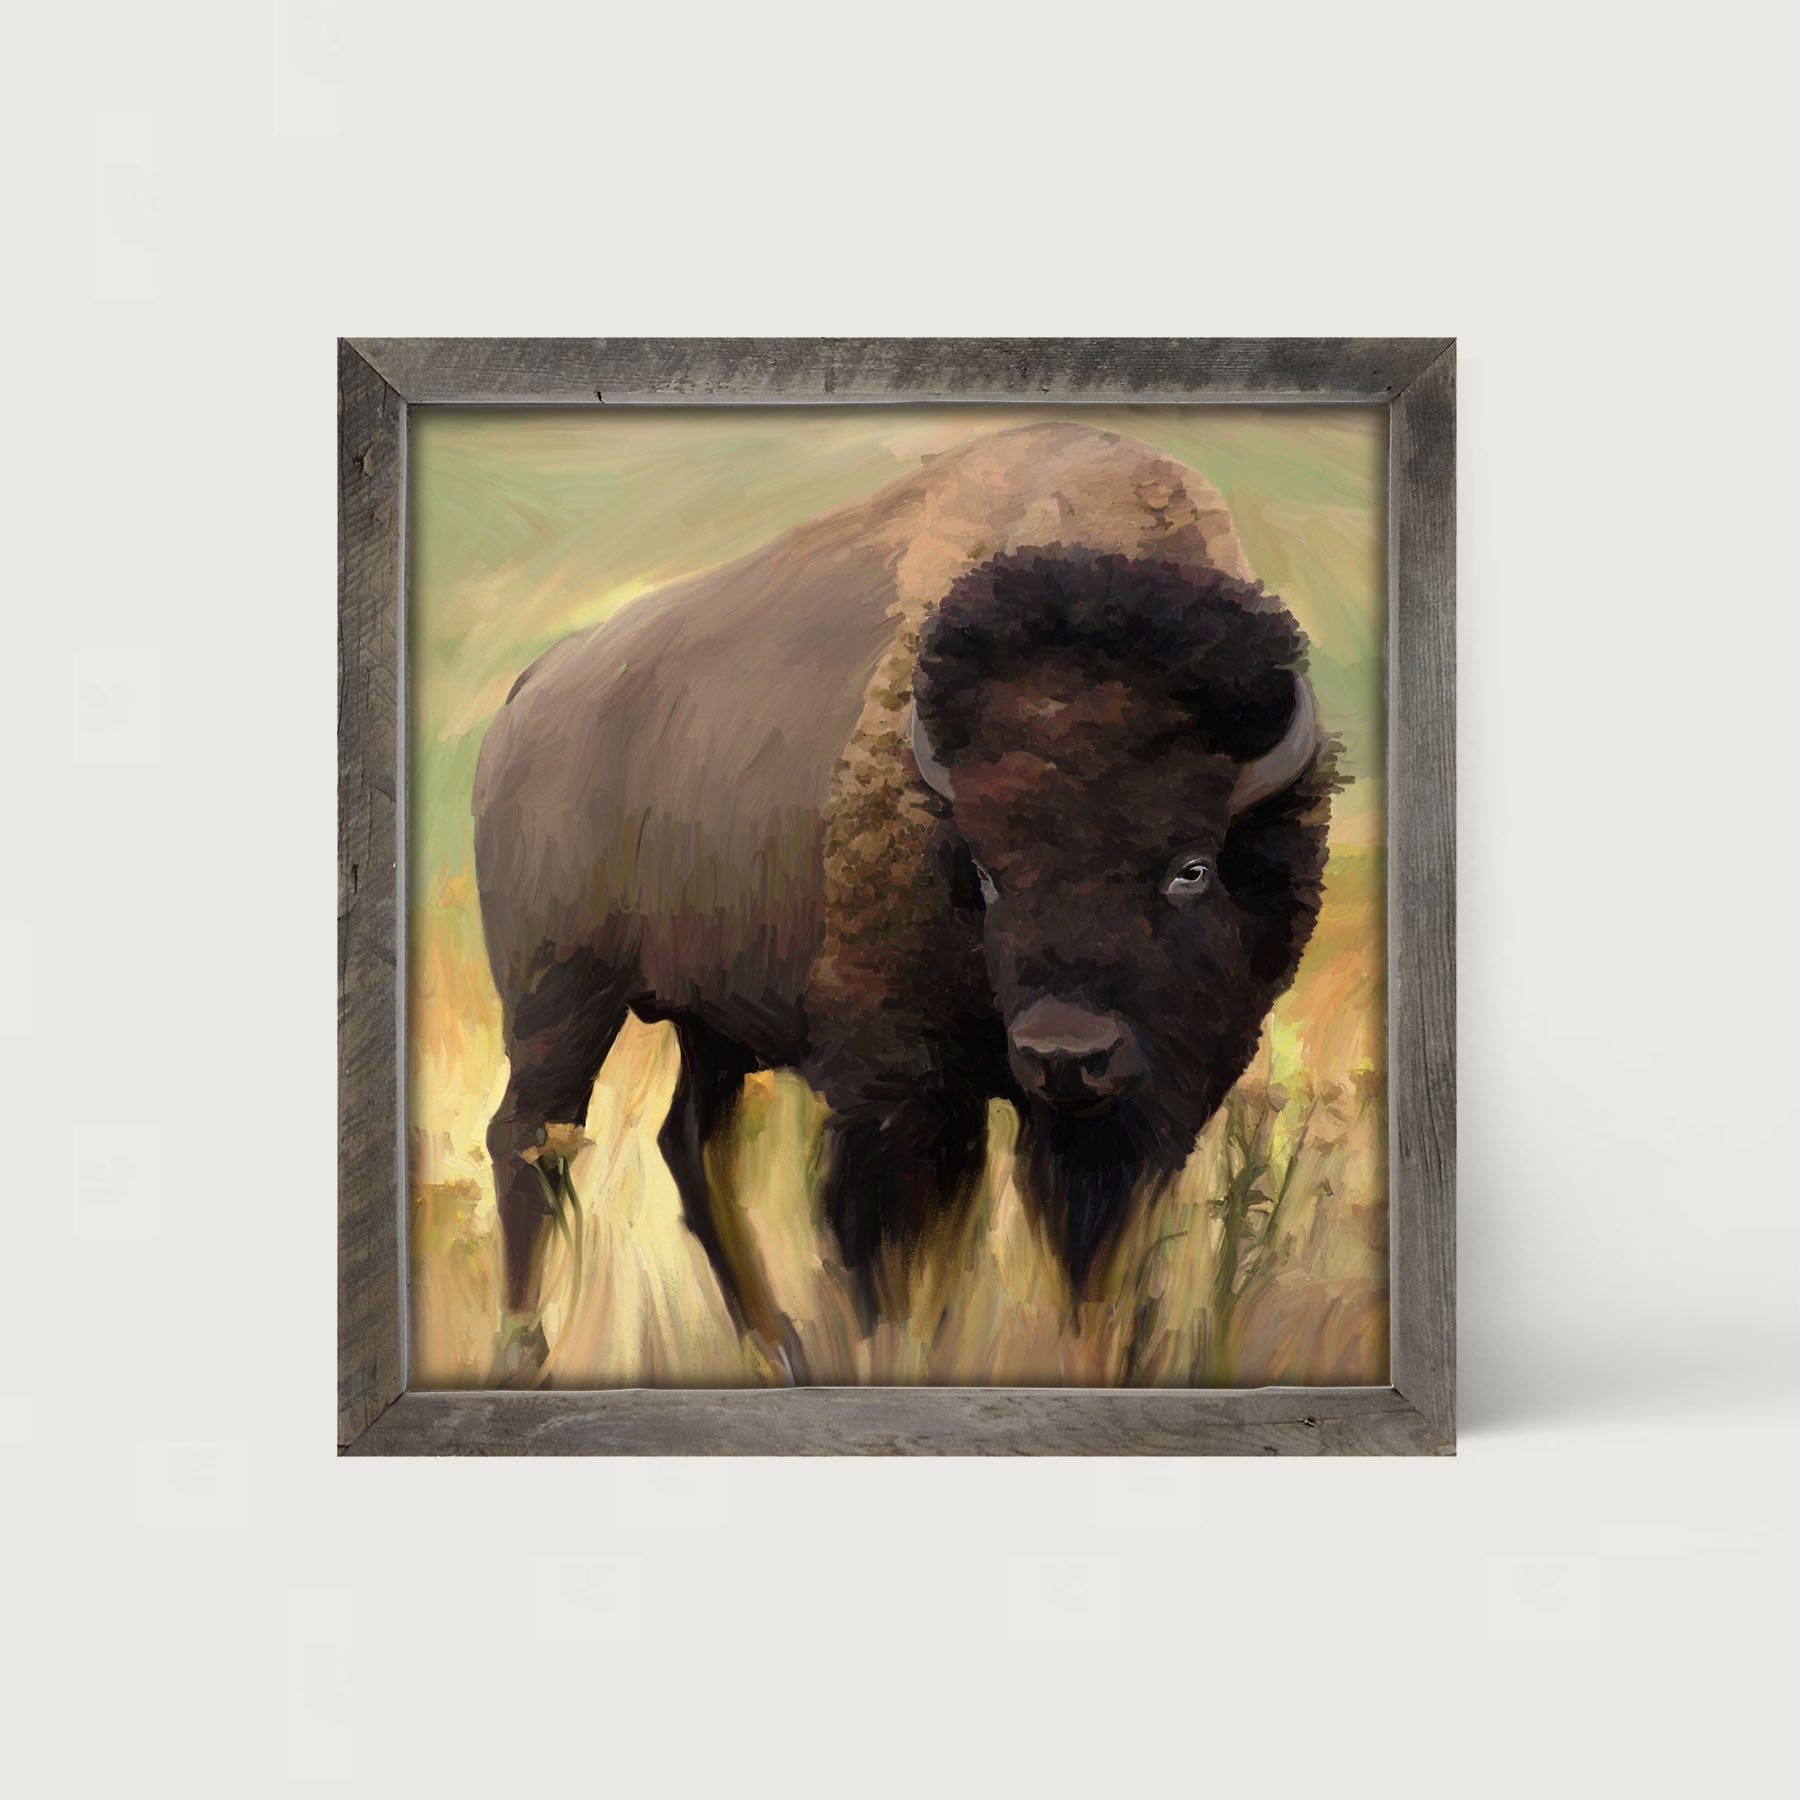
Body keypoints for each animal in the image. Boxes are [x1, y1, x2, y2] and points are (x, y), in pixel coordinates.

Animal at [473, 422, 1334, 1367]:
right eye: (987, 871)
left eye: (1191, 867)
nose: (1065, 1053)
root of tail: (531, 693)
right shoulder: (898, 1093)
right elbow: (891, 1257)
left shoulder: (1133, 1111)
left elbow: (1086, 1258)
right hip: (558, 998)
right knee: (530, 1141)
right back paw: (526, 1349)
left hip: (710, 1025)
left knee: (689, 1145)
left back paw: (777, 1349)